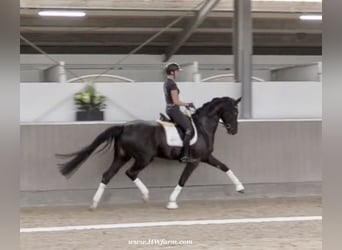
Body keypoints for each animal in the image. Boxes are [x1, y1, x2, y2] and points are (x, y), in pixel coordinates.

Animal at [59, 96, 246, 210]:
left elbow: (224, 167)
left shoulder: (206, 157)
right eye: (235, 111)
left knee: (107, 175)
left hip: (122, 156)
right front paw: (171, 202)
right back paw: (146, 195)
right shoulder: (194, 161)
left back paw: (94, 203)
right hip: (144, 158)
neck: (202, 127)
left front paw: (240, 188)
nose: (234, 131)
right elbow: (182, 180)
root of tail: (124, 127)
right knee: (130, 172)